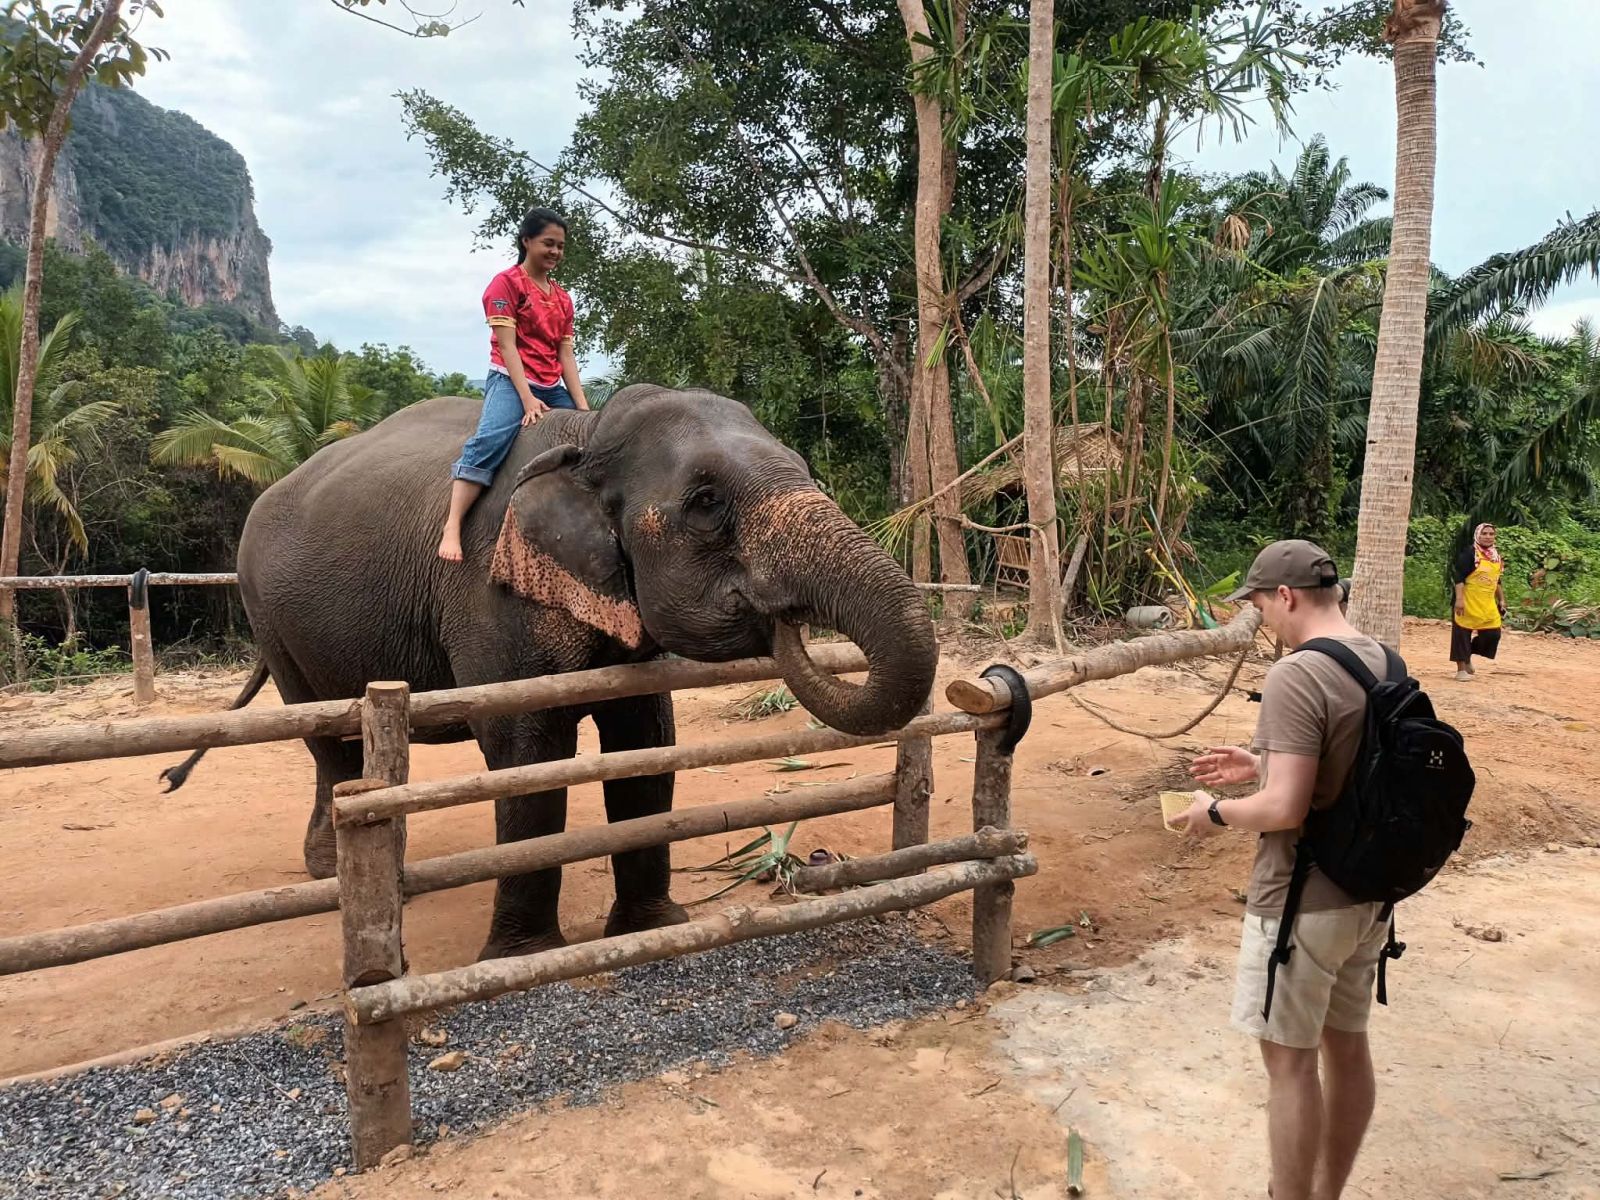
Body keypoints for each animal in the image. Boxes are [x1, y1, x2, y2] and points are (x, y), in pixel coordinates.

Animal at [162, 384, 938, 959]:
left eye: (807, 471)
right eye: (705, 502)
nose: (786, 619)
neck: (586, 437)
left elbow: (645, 741)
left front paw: (656, 928)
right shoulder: (488, 588)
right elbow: (526, 754)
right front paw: (523, 956)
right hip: (268, 614)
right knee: (329, 744)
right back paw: (335, 874)